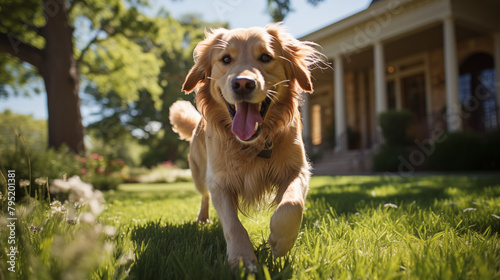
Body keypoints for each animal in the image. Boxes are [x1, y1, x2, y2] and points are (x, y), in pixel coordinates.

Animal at [170, 24, 322, 272]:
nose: (242, 83)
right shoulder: (219, 181)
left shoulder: (297, 169)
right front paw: (242, 258)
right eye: (226, 59)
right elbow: (232, 224)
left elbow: (291, 205)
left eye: (265, 57)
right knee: (204, 196)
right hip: (199, 174)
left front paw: (280, 240)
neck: (251, 144)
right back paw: (203, 218)